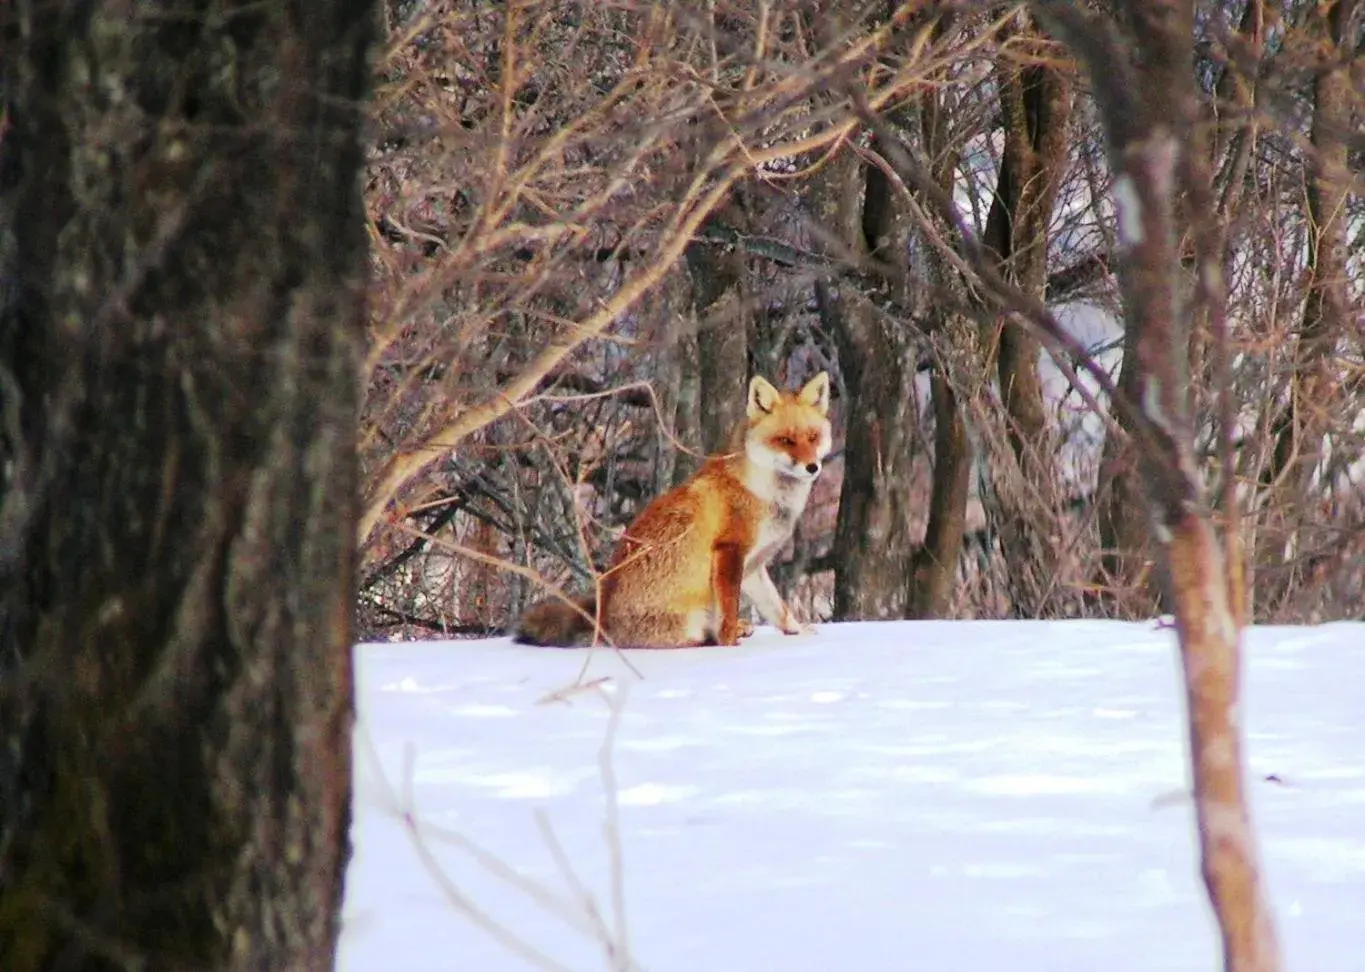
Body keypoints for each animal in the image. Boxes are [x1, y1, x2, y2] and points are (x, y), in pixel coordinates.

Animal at [513, 371, 829, 644]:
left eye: (813, 437)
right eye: (785, 440)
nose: (812, 467)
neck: (764, 494)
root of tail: (602, 622)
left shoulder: (753, 565)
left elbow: (778, 608)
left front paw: (798, 632)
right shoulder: (730, 549)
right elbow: (729, 611)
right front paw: (730, 644)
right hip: (690, 621)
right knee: (697, 639)